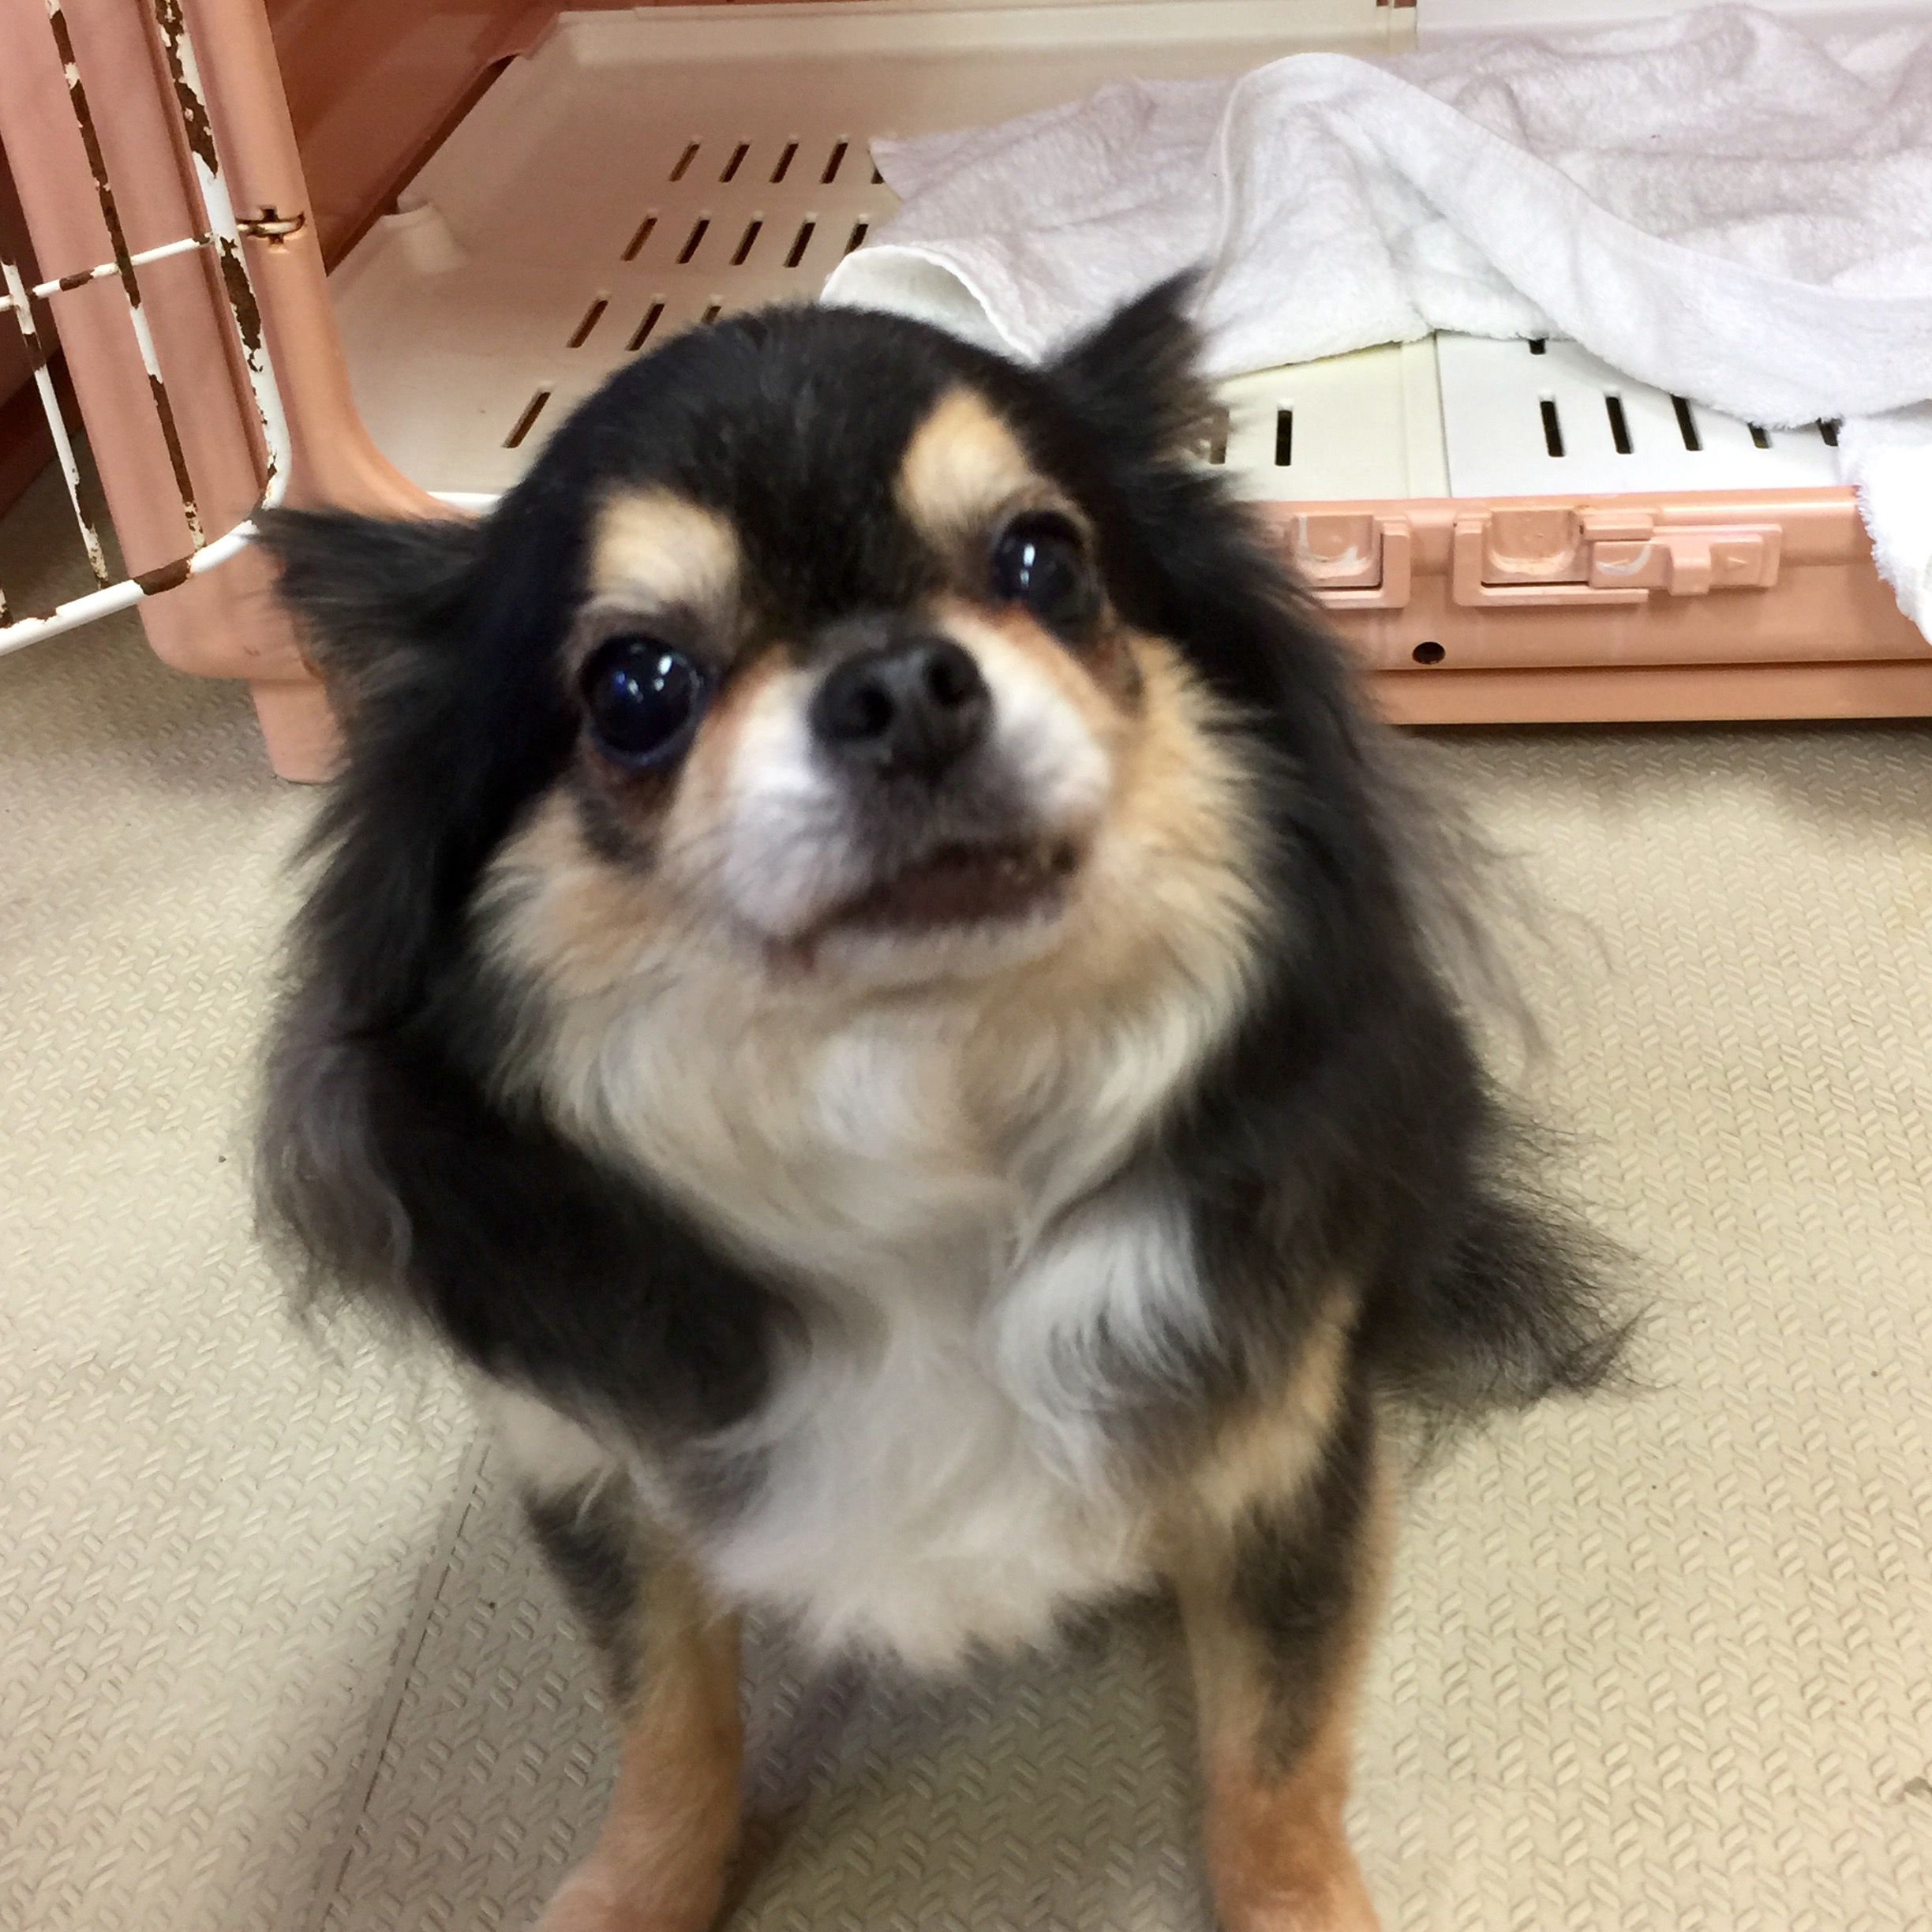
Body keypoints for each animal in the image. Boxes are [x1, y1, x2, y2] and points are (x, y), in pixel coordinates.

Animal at [256, 278, 1624, 1932]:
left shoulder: (1280, 1459)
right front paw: (633, 1892)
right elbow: (666, 1731)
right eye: (635, 689)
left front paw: (1300, 1907)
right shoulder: (599, 1471)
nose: (901, 682)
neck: (922, 1106)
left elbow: (1273, 1764)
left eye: (1041, 560)